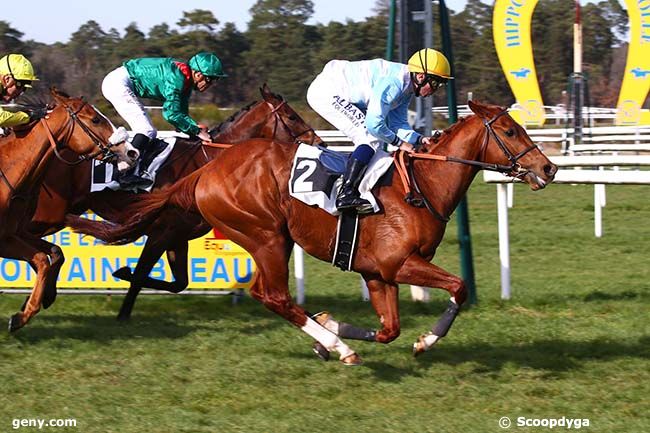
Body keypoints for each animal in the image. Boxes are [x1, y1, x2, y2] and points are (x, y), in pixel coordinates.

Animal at [0, 88, 138, 330]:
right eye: (95, 119)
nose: (131, 153)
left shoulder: (14, 233)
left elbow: (53, 253)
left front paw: (38, 302)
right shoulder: (7, 238)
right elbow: (42, 260)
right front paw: (24, 312)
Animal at [21, 83, 320, 320]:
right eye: (291, 116)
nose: (317, 142)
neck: (207, 163)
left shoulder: (178, 235)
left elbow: (179, 282)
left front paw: (122, 280)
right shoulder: (162, 231)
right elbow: (142, 273)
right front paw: (123, 304)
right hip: (48, 214)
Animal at [66, 100, 556, 362]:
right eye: (510, 130)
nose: (549, 168)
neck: (421, 186)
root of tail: (209, 170)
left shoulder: (378, 272)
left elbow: (389, 329)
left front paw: (334, 324)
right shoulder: (401, 263)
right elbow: (459, 288)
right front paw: (425, 340)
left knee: (267, 295)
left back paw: (328, 339)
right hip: (267, 236)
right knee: (274, 296)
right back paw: (337, 347)